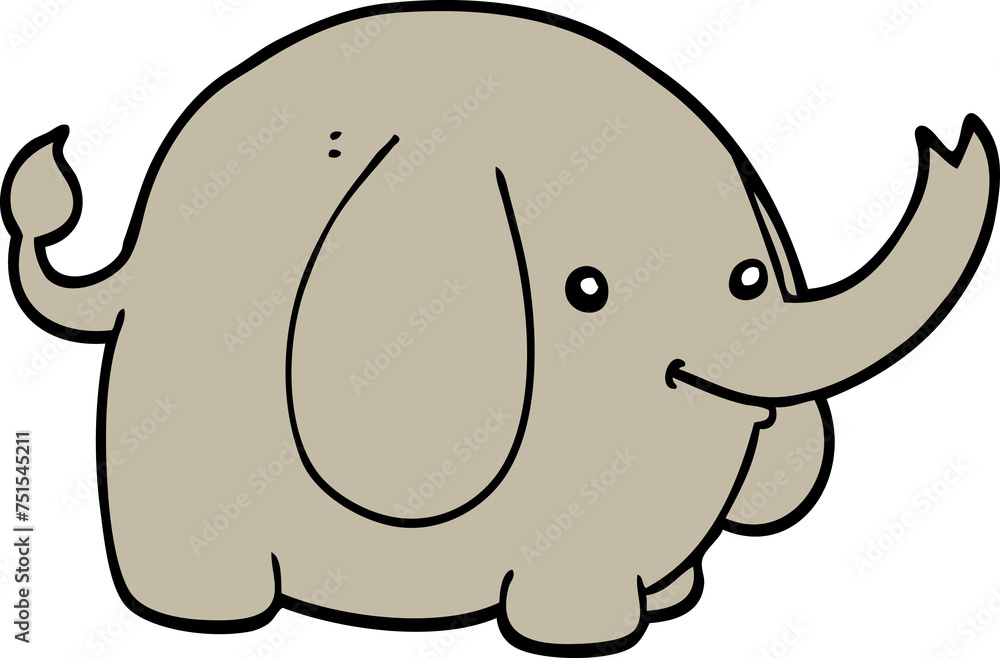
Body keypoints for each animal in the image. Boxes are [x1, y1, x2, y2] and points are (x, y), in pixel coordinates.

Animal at [2, 2, 997, 655]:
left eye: (752, 277)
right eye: (586, 291)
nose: (950, 135)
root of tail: (128, 264)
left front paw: (672, 602)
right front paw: (587, 637)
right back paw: (211, 619)